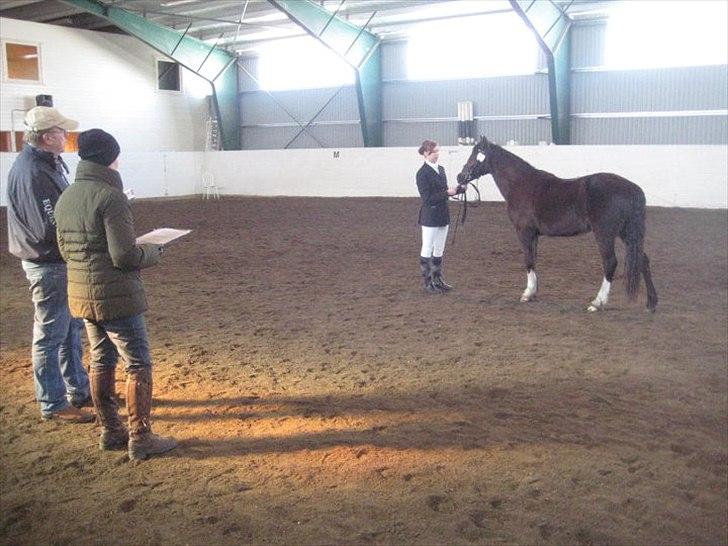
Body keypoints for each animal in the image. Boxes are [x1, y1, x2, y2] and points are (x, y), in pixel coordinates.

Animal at [456, 137, 658, 312]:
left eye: (475, 155)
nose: (460, 177)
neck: (521, 185)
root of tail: (633, 189)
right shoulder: (534, 234)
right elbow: (534, 260)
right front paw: (534, 292)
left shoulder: (524, 232)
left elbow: (528, 260)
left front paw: (527, 294)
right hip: (627, 233)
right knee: (643, 260)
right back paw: (651, 303)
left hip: (605, 233)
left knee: (610, 262)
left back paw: (597, 303)